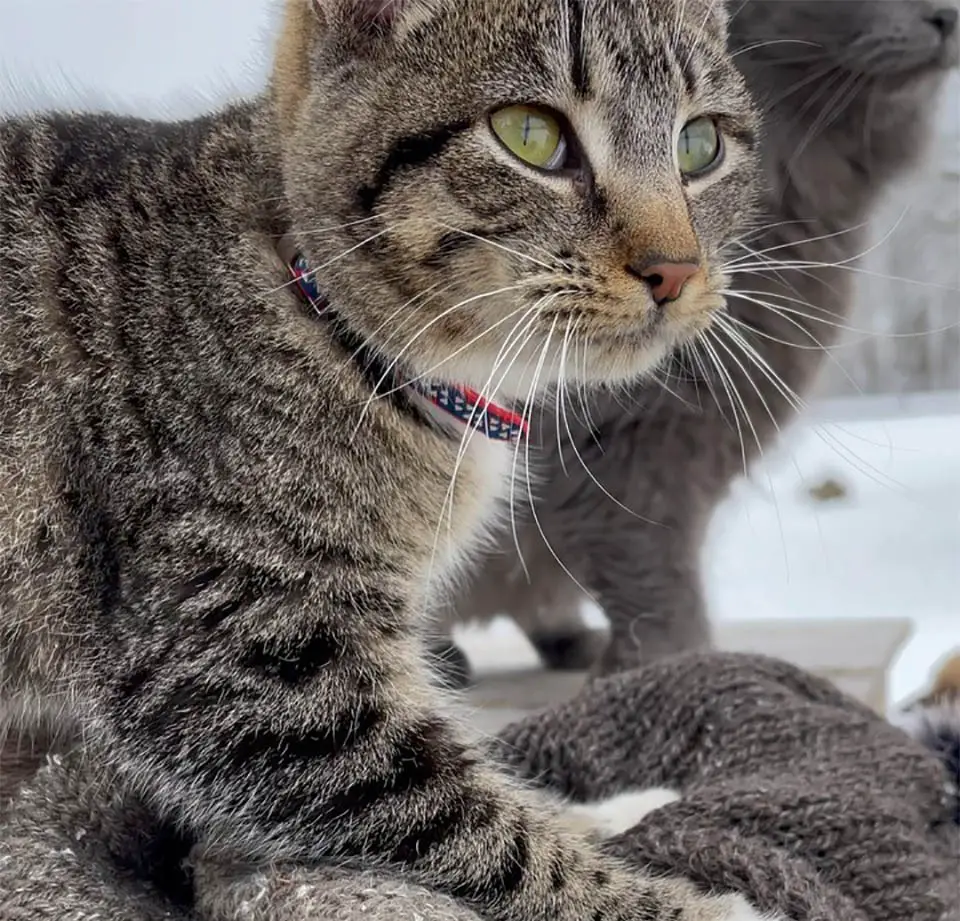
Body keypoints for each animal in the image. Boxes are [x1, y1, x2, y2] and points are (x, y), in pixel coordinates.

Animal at [0, 1, 772, 920]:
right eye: (531, 135)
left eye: (700, 145)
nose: (677, 269)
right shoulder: (237, 656)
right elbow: (469, 822)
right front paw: (672, 901)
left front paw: (606, 809)